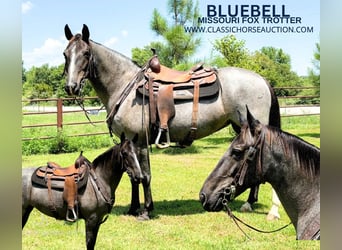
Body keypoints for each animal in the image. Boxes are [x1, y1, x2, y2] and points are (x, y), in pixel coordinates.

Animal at [61, 23, 280, 219]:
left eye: (86, 53)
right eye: (65, 54)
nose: (71, 87)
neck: (124, 86)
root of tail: (261, 79)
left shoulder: (139, 142)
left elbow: (144, 176)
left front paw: (146, 211)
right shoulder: (129, 143)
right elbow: (133, 177)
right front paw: (133, 208)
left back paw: (249, 203)